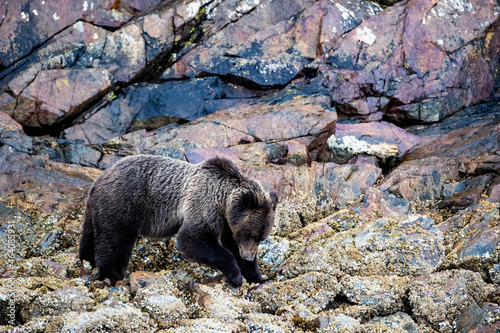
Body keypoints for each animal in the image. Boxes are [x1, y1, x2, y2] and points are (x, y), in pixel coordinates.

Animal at [80, 154, 280, 284]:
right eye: (251, 234)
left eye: (261, 238)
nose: (248, 257)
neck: (223, 202)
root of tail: (99, 179)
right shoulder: (203, 204)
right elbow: (192, 238)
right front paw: (235, 274)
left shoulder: (228, 223)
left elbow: (231, 243)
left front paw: (257, 276)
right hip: (123, 202)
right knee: (116, 240)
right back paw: (110, 275)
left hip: (95, 210)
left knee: (90, 238)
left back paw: (87, 262)